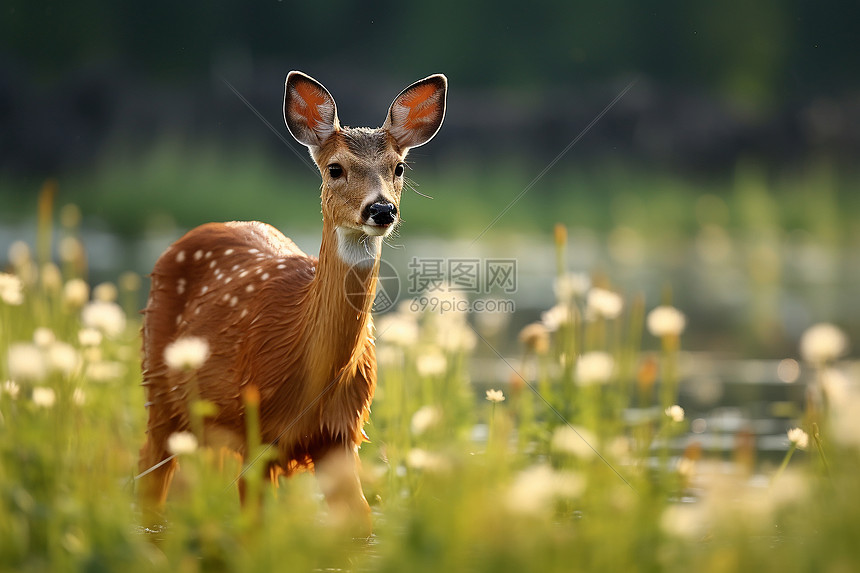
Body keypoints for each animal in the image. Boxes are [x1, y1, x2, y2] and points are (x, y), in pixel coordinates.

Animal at [138, 70, 446, 532]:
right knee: (148, 481)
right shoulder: (255, 431)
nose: (381, 209)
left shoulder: (343, 432)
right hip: (158, 388)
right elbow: (252, 527)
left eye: (399, 167)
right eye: (335, 168)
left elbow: (363, 527)